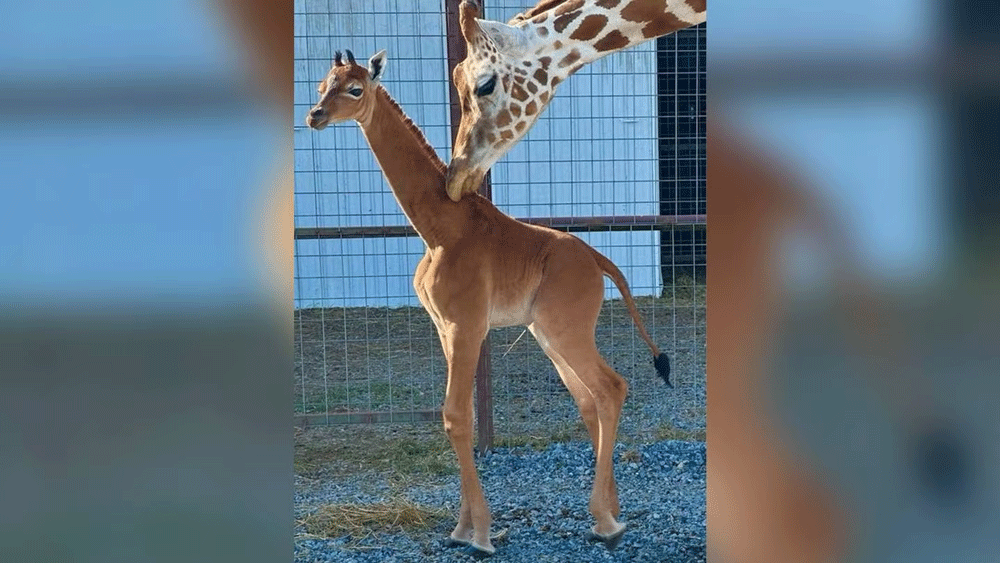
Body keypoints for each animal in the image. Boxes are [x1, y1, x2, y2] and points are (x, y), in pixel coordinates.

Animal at [305, 49, 672, 557]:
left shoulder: (467, 325)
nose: (315, 116)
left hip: (566, 329)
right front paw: (462, 528)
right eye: (322, 85)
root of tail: (599, 260)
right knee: (589, 398)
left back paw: (605, 522)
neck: (439, 228)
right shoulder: (444, 328)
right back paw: (612, 512)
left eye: (355, 89)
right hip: (547, 333)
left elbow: (456, 416)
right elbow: (458, 417)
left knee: (611, 387)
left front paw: (478, 534)